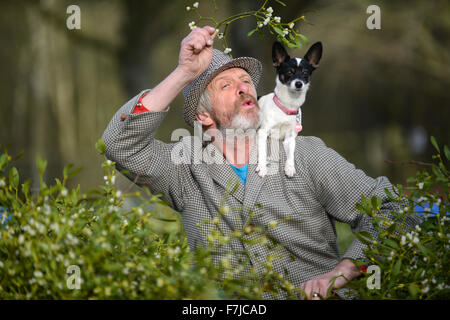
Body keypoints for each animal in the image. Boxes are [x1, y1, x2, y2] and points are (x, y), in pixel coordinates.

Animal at [255, 40, 322, 178]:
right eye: (289, 72)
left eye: (305, 73)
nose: (298, 84)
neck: (286, 106)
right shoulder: (263, 132)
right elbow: (263, 151)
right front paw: (262, 167)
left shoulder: (290, 138)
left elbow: (291, 154)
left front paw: (290, 167)